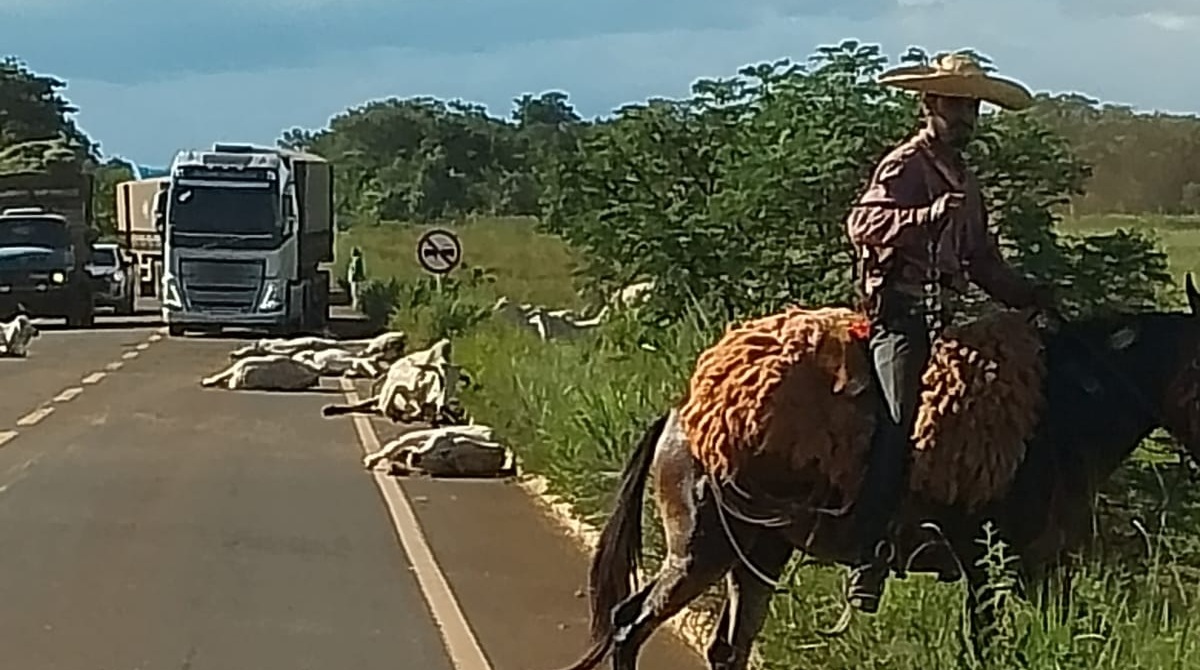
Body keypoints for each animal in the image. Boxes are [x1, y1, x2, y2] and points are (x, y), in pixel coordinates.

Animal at [556, 274, 1200, 670]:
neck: (1061, 408)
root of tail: (682, 416)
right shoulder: (987, 569)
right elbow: (985, 650)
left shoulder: (1044, 571)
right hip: (700, 550)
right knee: (629, 623)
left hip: (757, 555)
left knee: (726, 648)